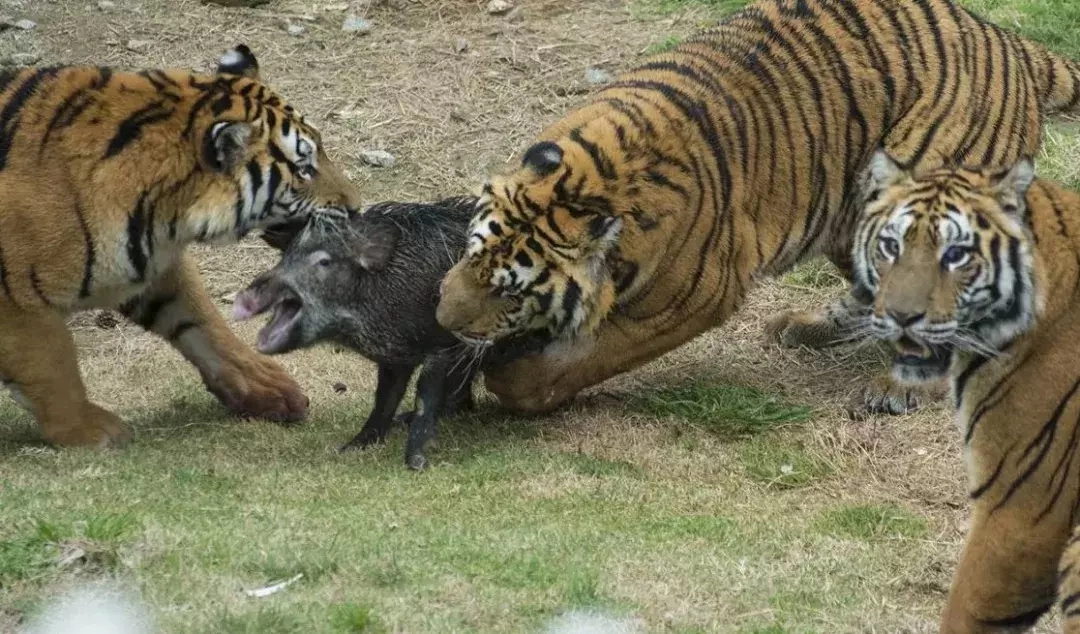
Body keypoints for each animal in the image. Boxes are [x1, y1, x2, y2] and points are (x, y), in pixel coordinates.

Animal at [0, 44, 362, 449]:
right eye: (303, 169)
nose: (357, 205)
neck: (163, 214)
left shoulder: (147, 263)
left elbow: (203, 322)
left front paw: (267, 387)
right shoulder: (15, 300)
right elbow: (51, 361)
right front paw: (89, 430)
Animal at [429, 0, 1080, 416]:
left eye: (510, 291)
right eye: (472, 250)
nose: (440, 318)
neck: (598, 179)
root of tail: (1011, 41)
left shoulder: (693, 297)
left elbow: (584, 358)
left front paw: (510, 381)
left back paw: (901, 389)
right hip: (855, 212)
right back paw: (809, 329)